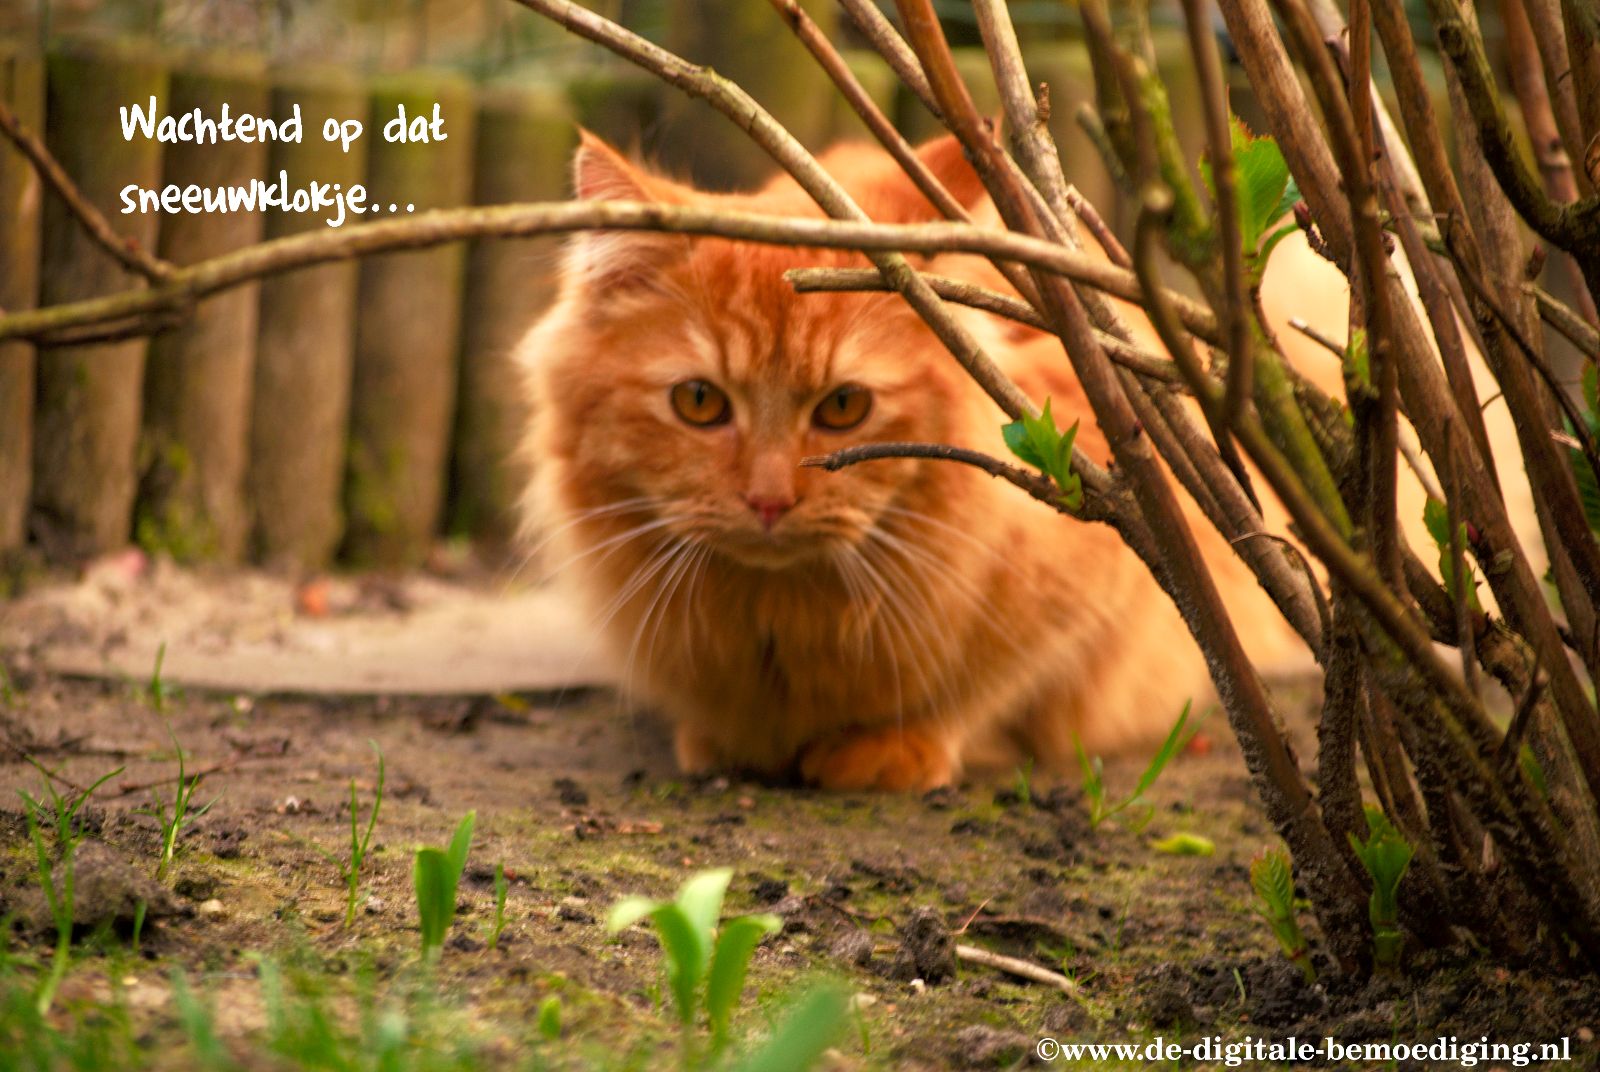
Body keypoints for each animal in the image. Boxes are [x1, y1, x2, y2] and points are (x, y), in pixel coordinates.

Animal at [518, 130, 1305, 793]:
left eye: (843, 407)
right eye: (700, 402)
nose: (769, 501)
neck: (785, 619)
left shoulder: (1100, 591)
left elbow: (980, 689)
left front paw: (894, 748)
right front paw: (723, 741)